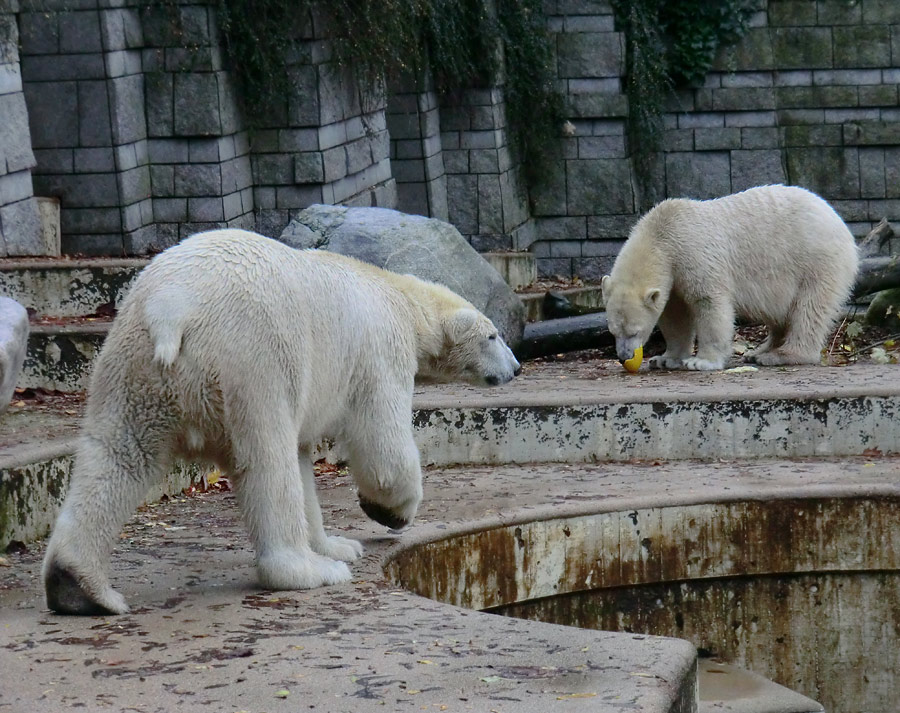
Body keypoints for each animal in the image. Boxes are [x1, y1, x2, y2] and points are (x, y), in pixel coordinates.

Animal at [42, 228, 520, 612]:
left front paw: (339, 545)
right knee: (267, 457)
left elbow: (305, 458)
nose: (516, 368)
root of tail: (172, 306)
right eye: (493, 335)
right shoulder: (379, 352)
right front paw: (388, 512)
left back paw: (77, 587)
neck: (398, 294)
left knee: (119, 455)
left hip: (133, 361)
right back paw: (308, 571)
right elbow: (381, 443)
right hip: (253, 358)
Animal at [596, 186, 856, 370]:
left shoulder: (696, 254)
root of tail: (839, 221)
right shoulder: (674, 273)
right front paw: (664, 359)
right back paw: (759, 351)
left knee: (809, 309)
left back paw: (783, 355)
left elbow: (709, 303)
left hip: (816, 261)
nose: (624, 356)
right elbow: (675, 314)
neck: (664, 233)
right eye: (613, 331)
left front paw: (701, 361)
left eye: (635, 332)